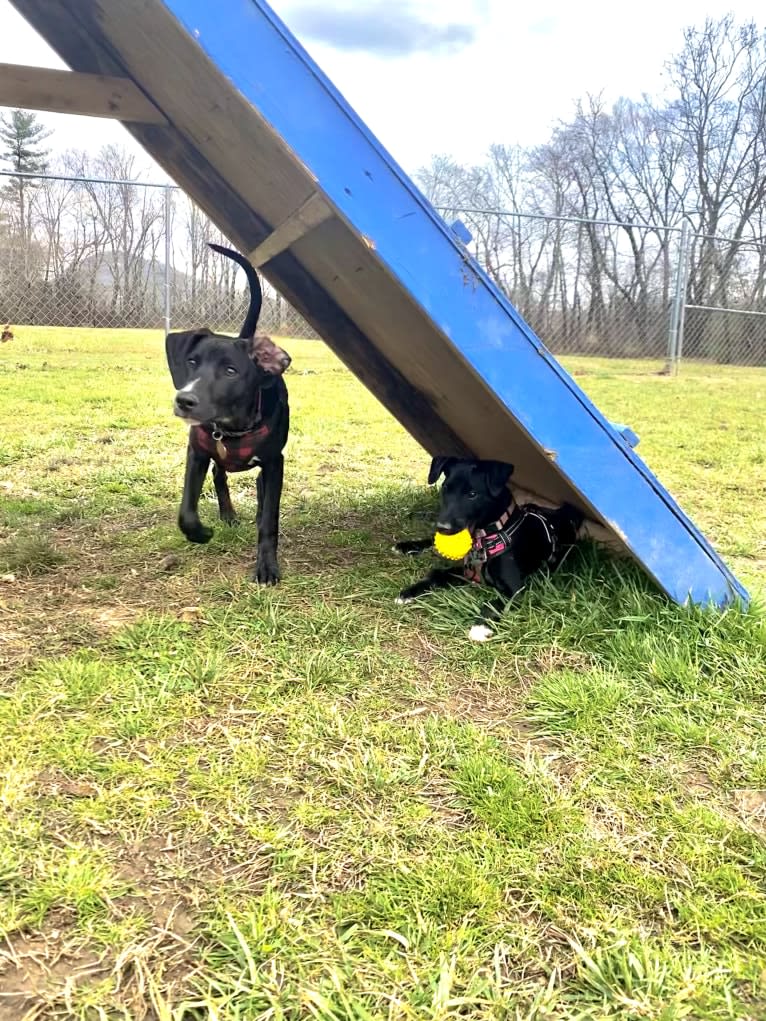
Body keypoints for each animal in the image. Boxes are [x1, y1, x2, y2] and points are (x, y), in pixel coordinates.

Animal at [165, 239, 290, 588]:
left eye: (231, 371)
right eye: (191, 362)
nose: (184, 400)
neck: (232, 427)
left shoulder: (275, 462)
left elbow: (269, 520)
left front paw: (266, 567)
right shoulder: (197, 451)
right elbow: (186, 509)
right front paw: (200, 532)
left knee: (260, 491)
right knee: (220, 476)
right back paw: (227, 514)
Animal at [396, 461, 580, 641]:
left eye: (472, 494)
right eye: (446, 488)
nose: (442, 528)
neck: (490, 535)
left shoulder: (515, 589)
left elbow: (491, 604)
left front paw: (480, 627)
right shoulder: (467, 570)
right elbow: (437, 575)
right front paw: (408, 593)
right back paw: (407, 547)